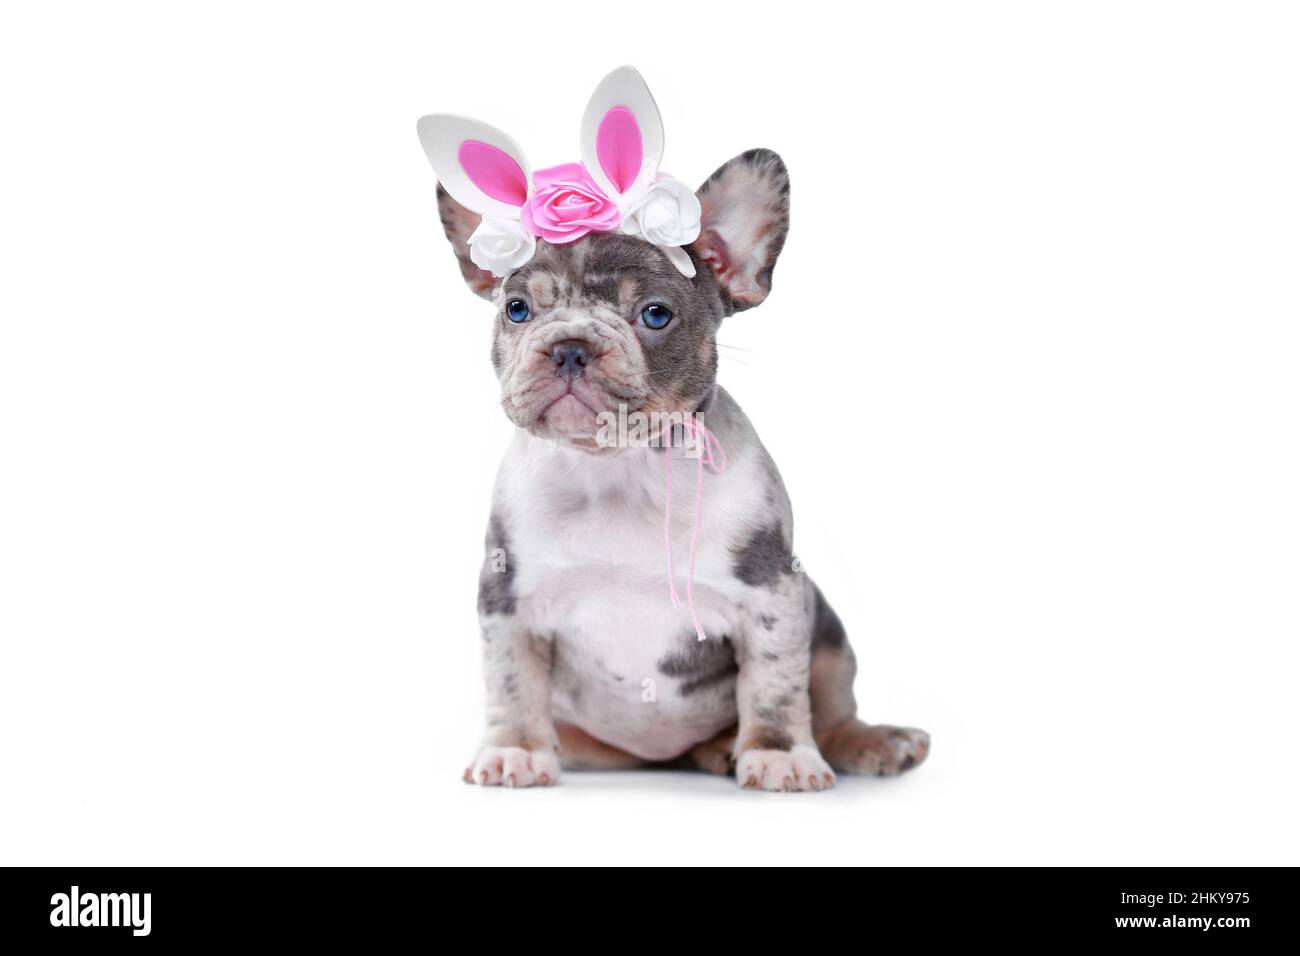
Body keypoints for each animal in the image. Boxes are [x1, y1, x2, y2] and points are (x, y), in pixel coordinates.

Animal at [431, 141, 930, 790]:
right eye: (516, 310)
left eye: (655, 315)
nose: (570, 346)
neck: (620, 471)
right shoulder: (509, 601)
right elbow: (512, 679)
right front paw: (515, 748)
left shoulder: (772, 595)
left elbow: (774, 682)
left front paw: (777, 752)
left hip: (830, 639)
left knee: (834, 710)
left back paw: (866, 741)